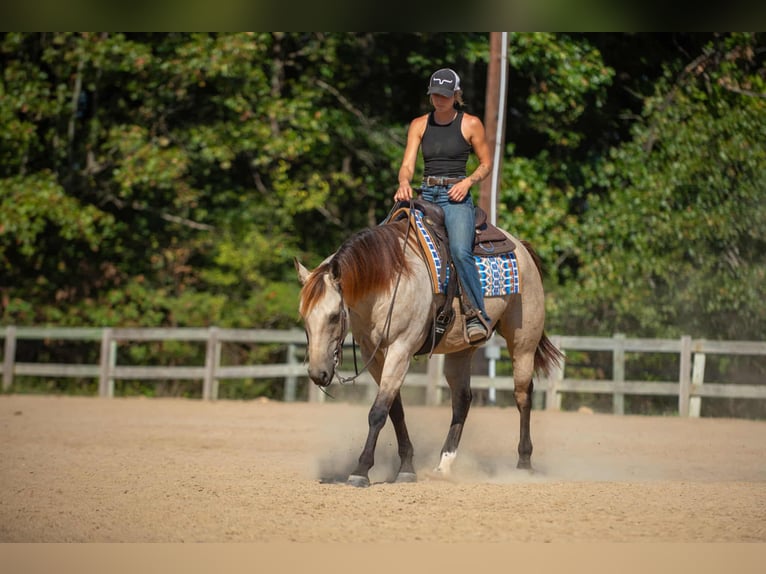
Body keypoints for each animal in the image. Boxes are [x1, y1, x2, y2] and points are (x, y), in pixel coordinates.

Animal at [295, 212, 562, 487]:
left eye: (335, 316)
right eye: (303, 316)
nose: (317, 373)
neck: (388, 280)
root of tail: (521, 247)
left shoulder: (401, 349)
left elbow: (378, 412)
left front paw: (361, 470)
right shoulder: (375, 354)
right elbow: (395, 410)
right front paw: (406, 468)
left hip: (523, 343)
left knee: (522, 395)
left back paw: (523, 464)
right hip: (460, 351)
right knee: (462, 399)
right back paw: (444, 465)